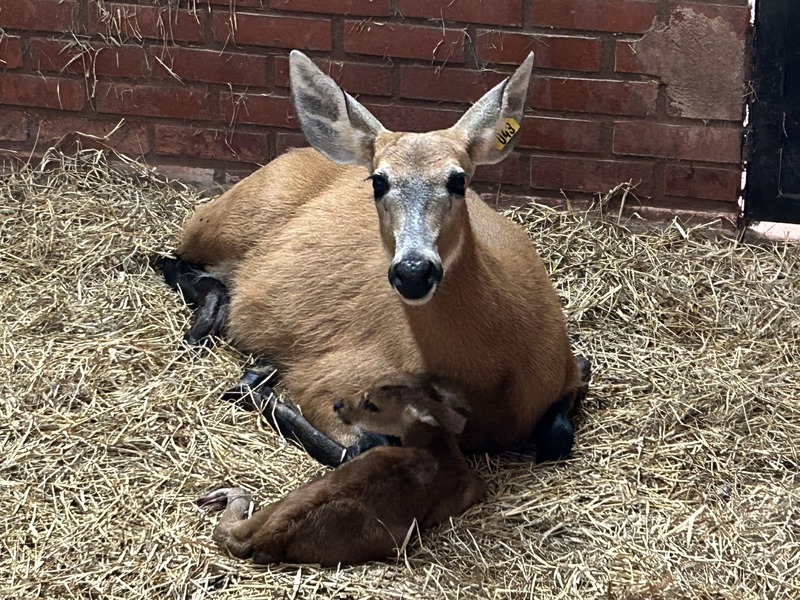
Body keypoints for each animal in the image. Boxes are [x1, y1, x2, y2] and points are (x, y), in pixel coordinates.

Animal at [162, 49, 592, 466]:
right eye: (378, 181)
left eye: (458, 180)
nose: (414, 271)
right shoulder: (327, 377)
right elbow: (363, 446)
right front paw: (257, 383)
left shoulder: (572, 368)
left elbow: (558, 436)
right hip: (226, 221)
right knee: (170, 258)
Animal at [200, 376, 488, 568]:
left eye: (372, 404)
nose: (338, 405)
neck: (437, 449)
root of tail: (270, 535)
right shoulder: (466, 492)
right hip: (391, 539)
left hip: (296, 494)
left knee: (231, 530)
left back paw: (218, 495)